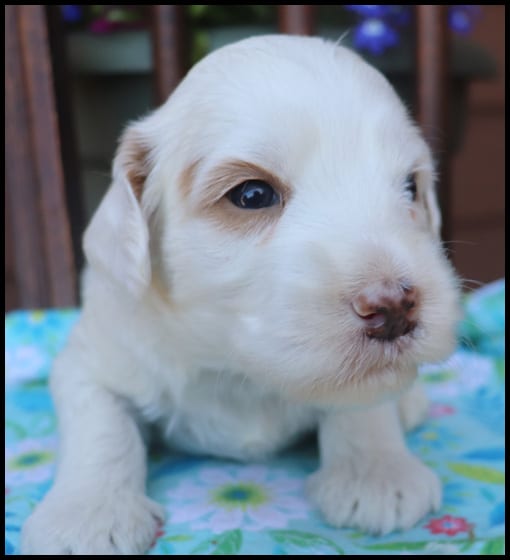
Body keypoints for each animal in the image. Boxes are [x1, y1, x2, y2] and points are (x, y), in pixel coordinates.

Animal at [20, 36, 458, 556]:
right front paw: (87, 515)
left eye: (410, 187)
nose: (394, 307)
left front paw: (376, 474)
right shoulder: (92, 358)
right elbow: (101, 426)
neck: (238, 370)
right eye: (252, 195)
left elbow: (362, 400)